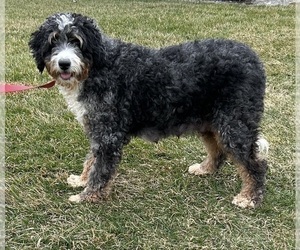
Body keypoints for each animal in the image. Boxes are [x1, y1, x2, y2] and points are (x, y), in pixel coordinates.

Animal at [29, 12, 270, 208]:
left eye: (76, 41)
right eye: (53, 41)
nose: (64, 63)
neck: (99, 66)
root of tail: (254, 58)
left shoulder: (109, 135)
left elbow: (101, 169)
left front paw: (87, 196)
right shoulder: (98, 129)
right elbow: (91, 159)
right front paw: (82, 181)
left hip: (234, 122)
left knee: (255, 163)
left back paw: (249, 196)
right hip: (211, 120)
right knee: (218, 151)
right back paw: (205, 169)